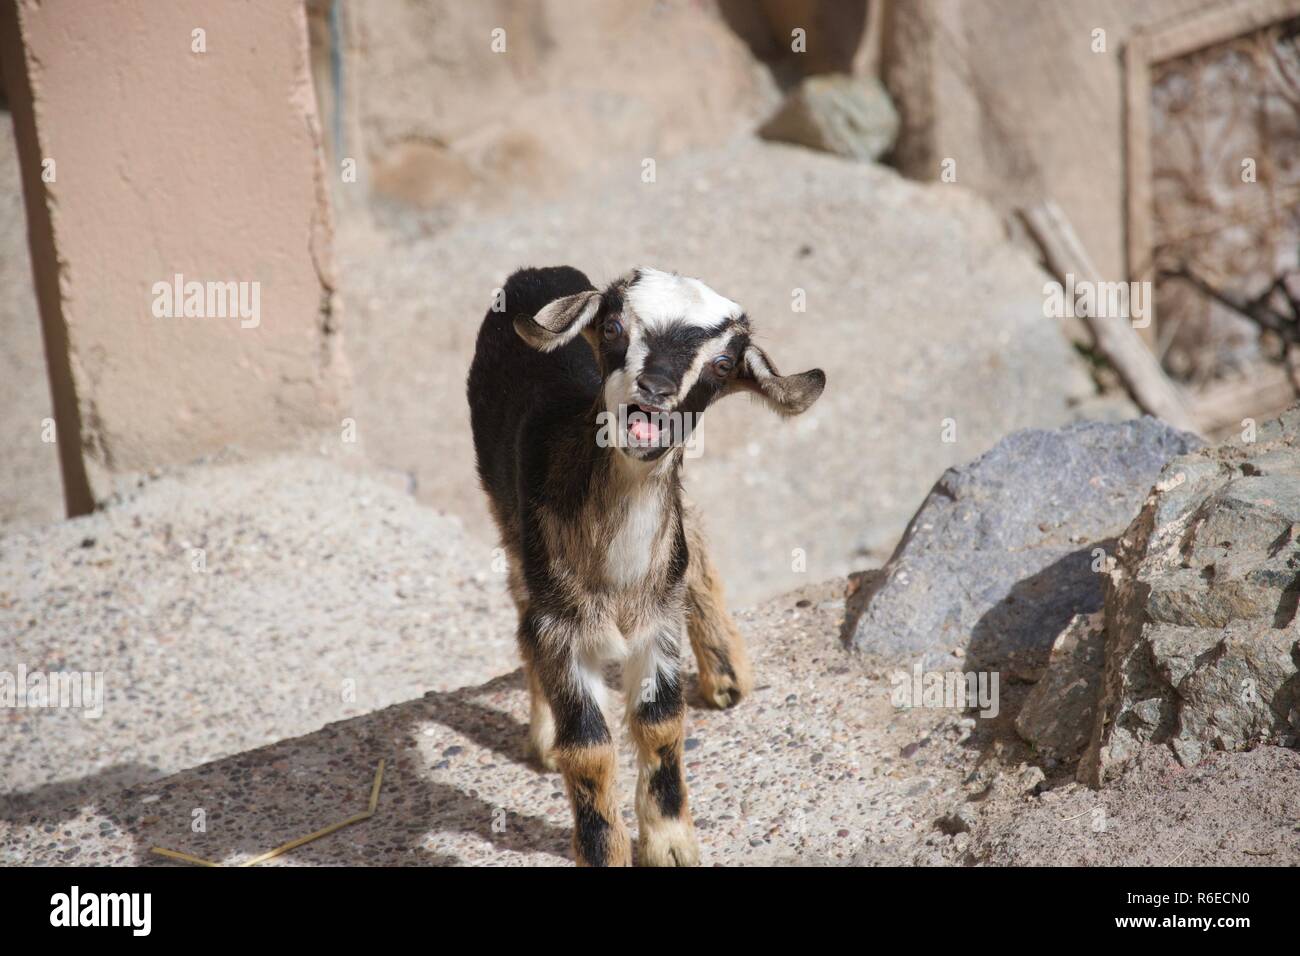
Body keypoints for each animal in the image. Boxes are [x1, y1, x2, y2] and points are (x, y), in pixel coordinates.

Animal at [467, 265, 821, 863]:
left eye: (723, 363)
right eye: (613, 328)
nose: (655, 392)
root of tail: (538, 272)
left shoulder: (658, 625)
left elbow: (660, 723)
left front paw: (671, 843)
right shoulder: (560, 625)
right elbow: (587, 744)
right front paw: (604, 850)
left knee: (691, 531)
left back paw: (726, 673)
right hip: (504, 510)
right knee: (520, 605)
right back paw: (544, 736)